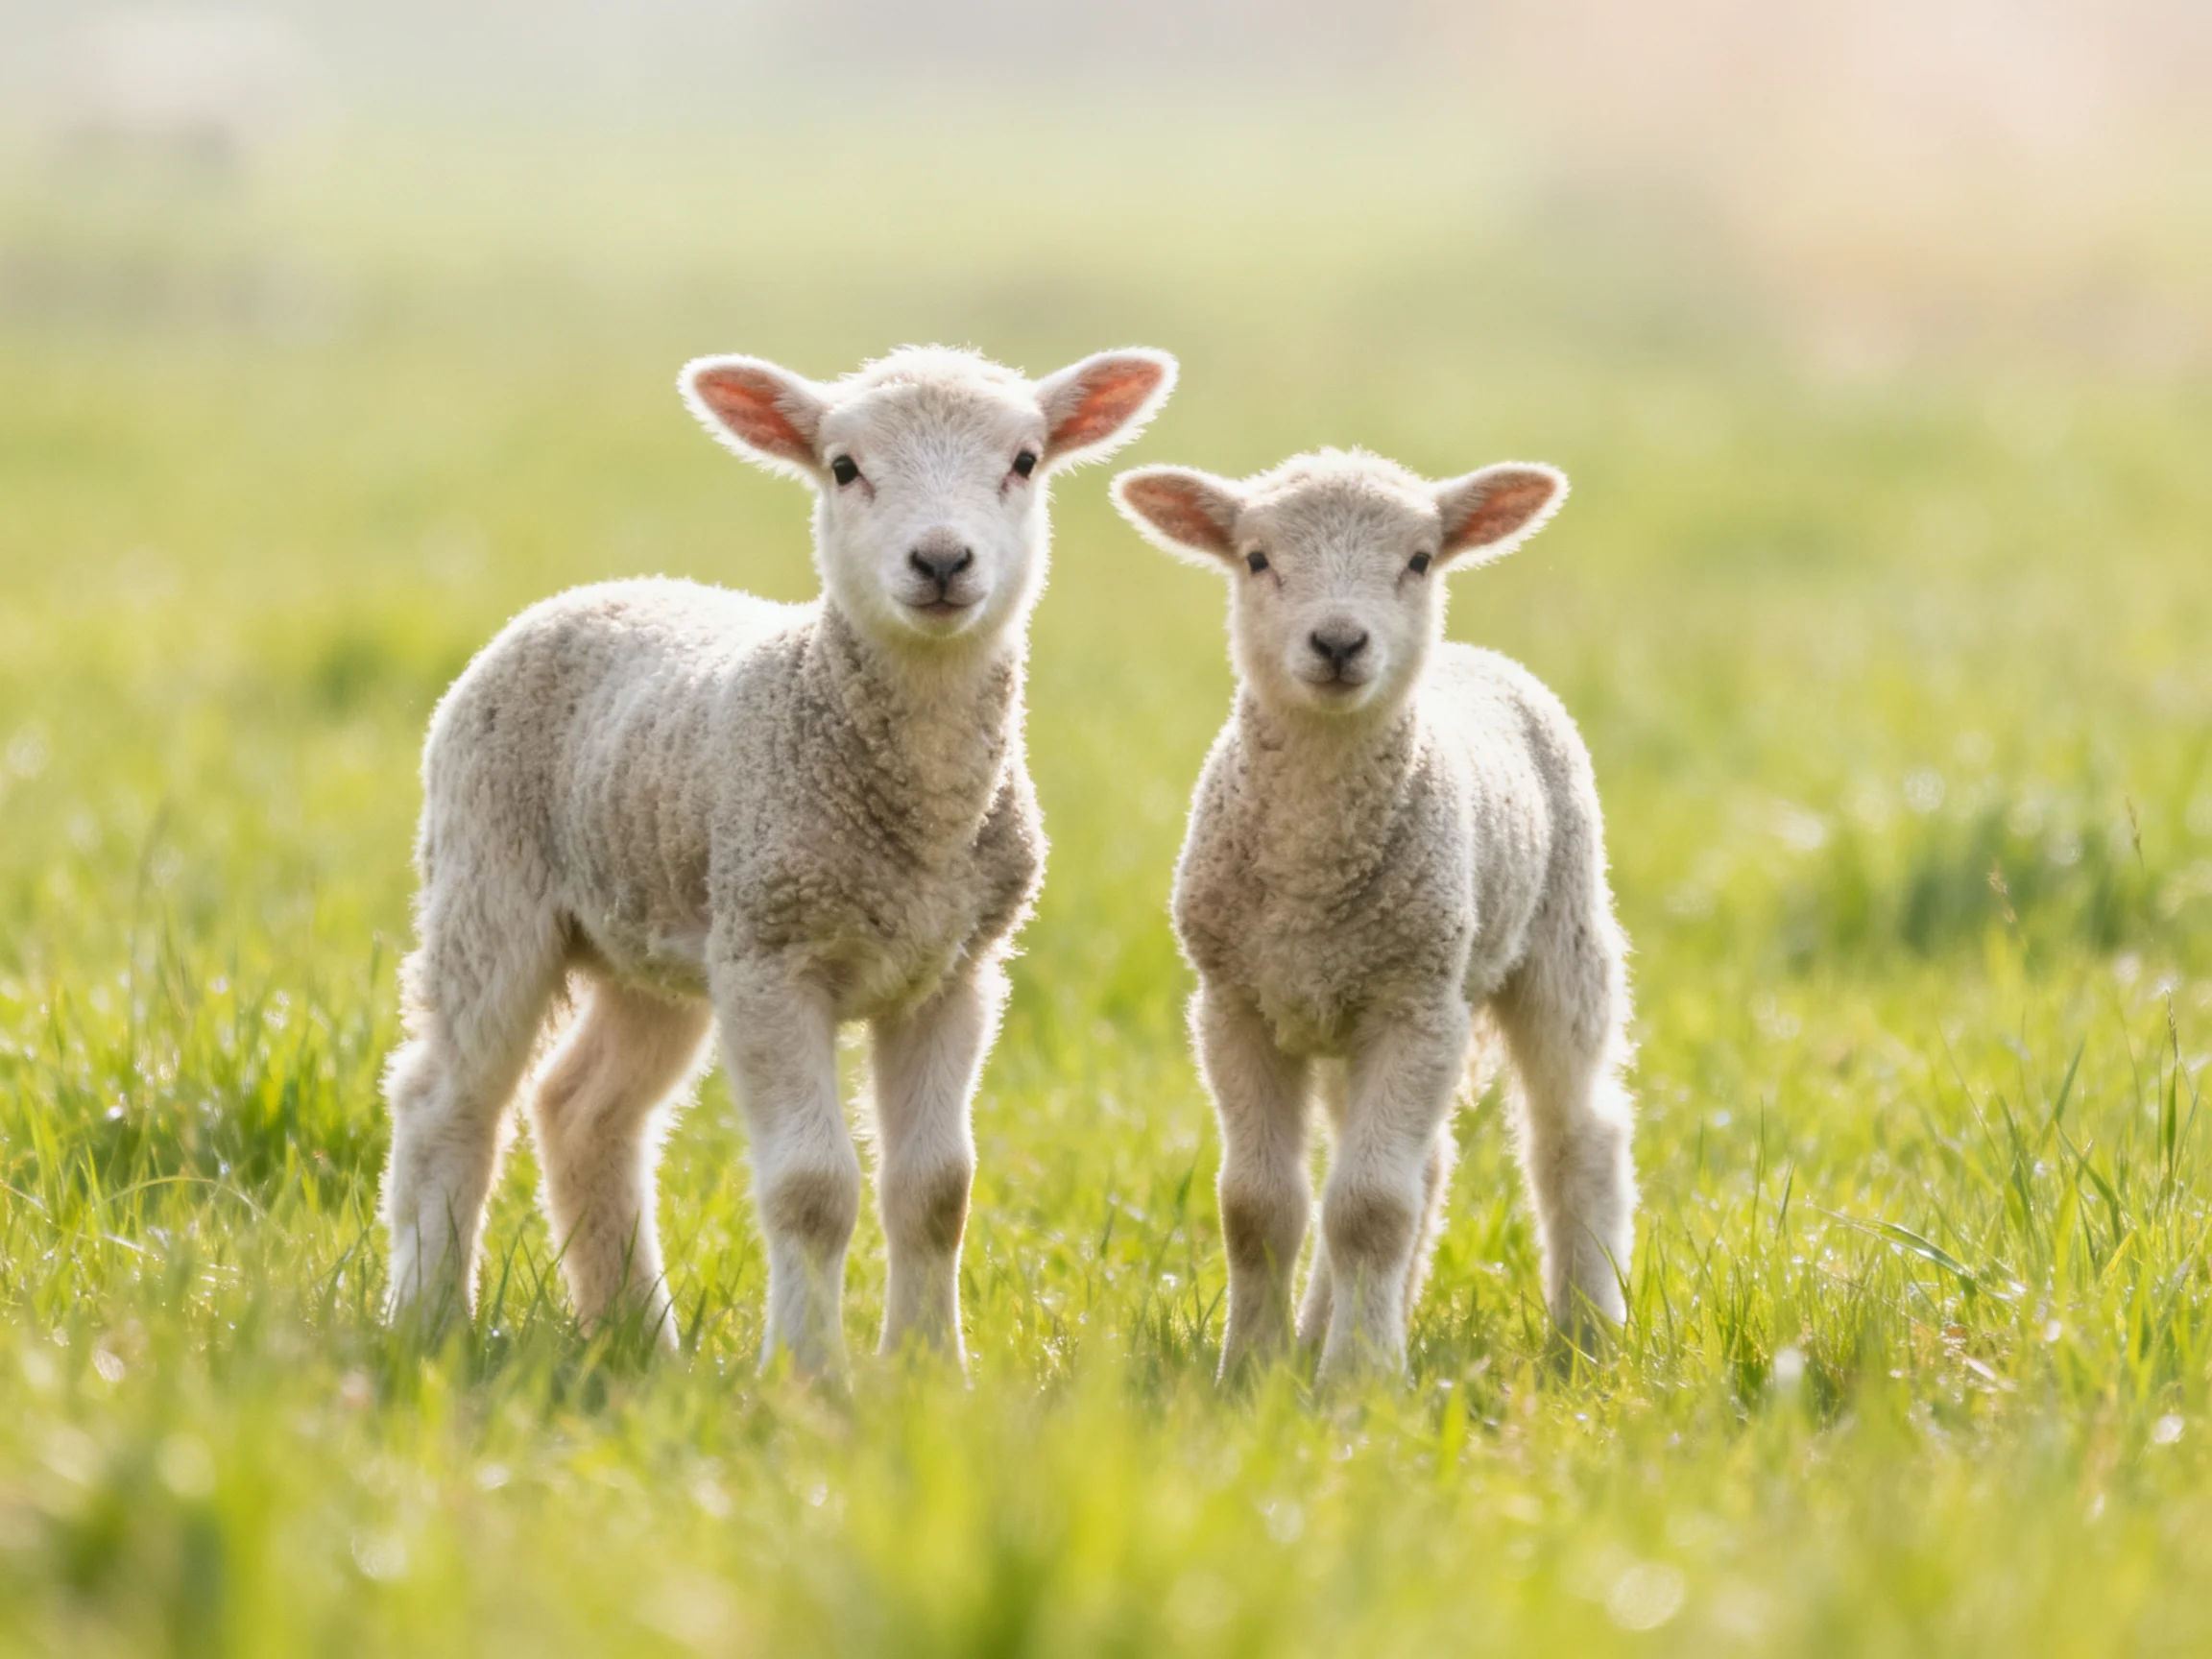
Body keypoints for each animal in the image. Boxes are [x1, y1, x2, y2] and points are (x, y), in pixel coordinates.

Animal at [378, 344, 1177, 1381]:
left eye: (1025, 461)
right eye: (843, 467)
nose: (942, 561)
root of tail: (595, 590)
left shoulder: (956, 971)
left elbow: (936, 1189)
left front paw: (930, 1374)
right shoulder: (772, 958)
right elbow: (812, 1186)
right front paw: (807, 1376)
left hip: (660, 937)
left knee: (583, 1109)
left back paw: (637, 1338)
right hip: (488, 878)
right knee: (447, 1102)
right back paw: (430, 1319)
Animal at [1111, 448, 1636, 1381]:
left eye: (1420, 560)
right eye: (1256, 559)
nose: (1338, 643)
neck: (1311, 875)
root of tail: (1473, 656)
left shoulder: (1415, 1001)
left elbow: (1370, 1208)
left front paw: (1361, 1380)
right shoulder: (1235, 1003)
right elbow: (1258, 1204)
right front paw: (1253, 1369)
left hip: (1560, 938)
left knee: (1577, 1134)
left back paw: (1584, 1336)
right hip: (1343, 1010)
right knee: (1421, 1165)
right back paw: (1324, 1326)